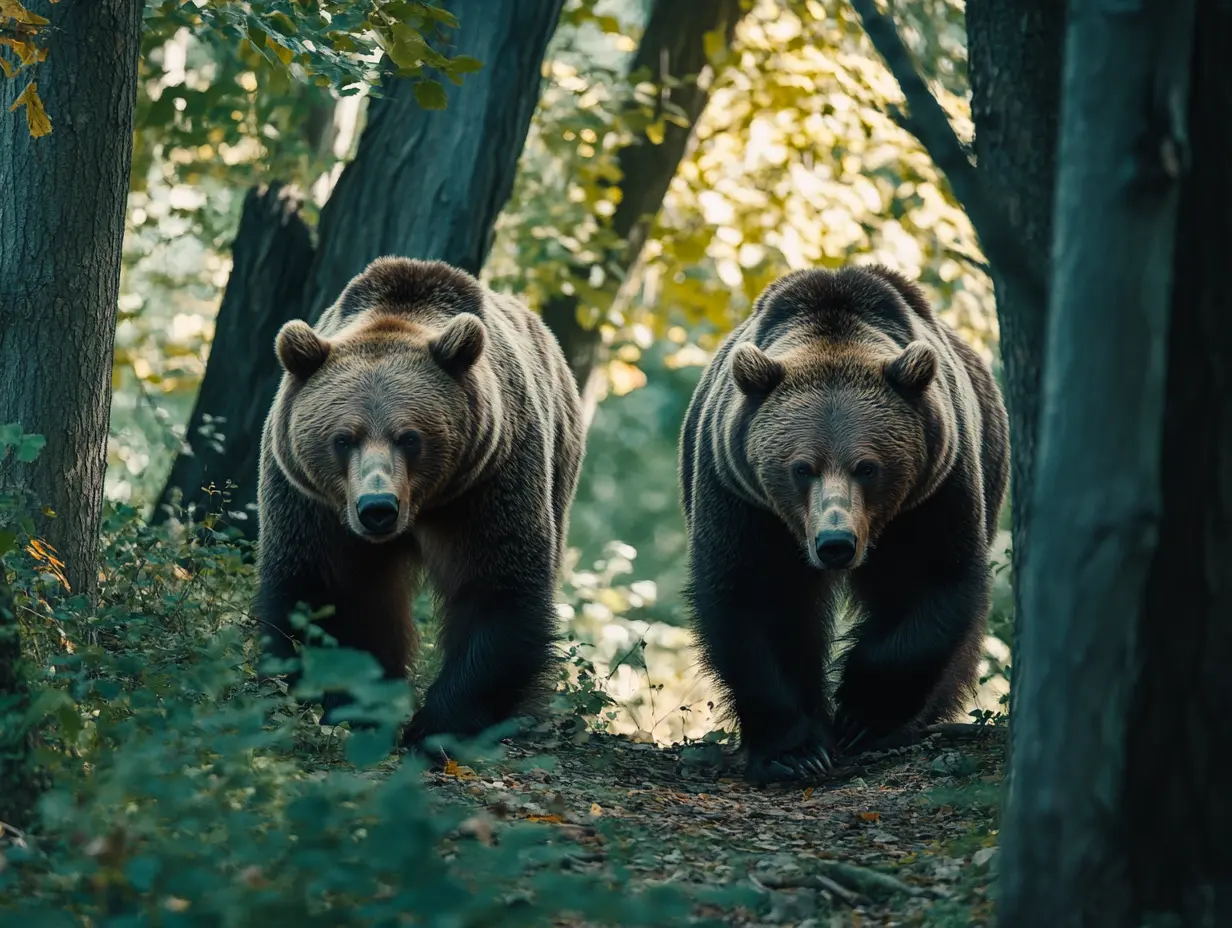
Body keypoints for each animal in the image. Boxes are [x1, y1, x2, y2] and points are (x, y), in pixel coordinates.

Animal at [255, 256, 585, 753]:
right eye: (343, 439)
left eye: (409, 437)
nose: (377, 508)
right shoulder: (311, 502)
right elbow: (315, 589)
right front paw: (353, 706)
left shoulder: (488, 482)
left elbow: (498, 588)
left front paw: (437, 723)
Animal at [678, 263, 1009, 784]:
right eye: (801, 467)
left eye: (868, 466)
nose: (836, 543)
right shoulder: (741, 495)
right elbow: (755, 599)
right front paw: (796, 751)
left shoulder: (934, 491)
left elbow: (929, 581)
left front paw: (859, 713)